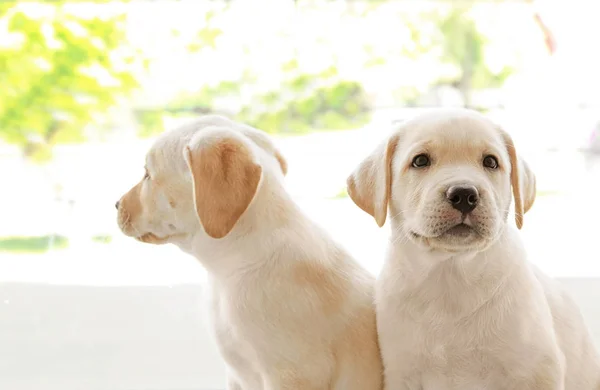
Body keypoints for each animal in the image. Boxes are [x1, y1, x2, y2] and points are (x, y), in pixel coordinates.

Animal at [346, 107, 600, 390]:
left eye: (490, 162)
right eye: (420, 161)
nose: (464, 195)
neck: (450, 275)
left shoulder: (537, 371)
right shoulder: (402, 374)